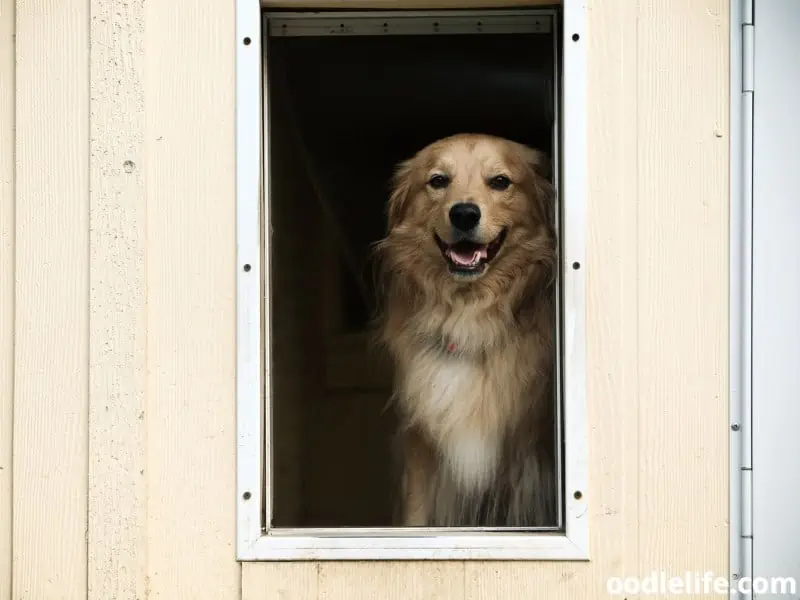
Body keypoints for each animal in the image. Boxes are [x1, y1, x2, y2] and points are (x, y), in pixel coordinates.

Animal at [374, 134, 556, 528]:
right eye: (439, 180)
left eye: (500, 181)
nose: (464, 213)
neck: (468, 316)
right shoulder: (421, 446)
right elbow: (414, 517)